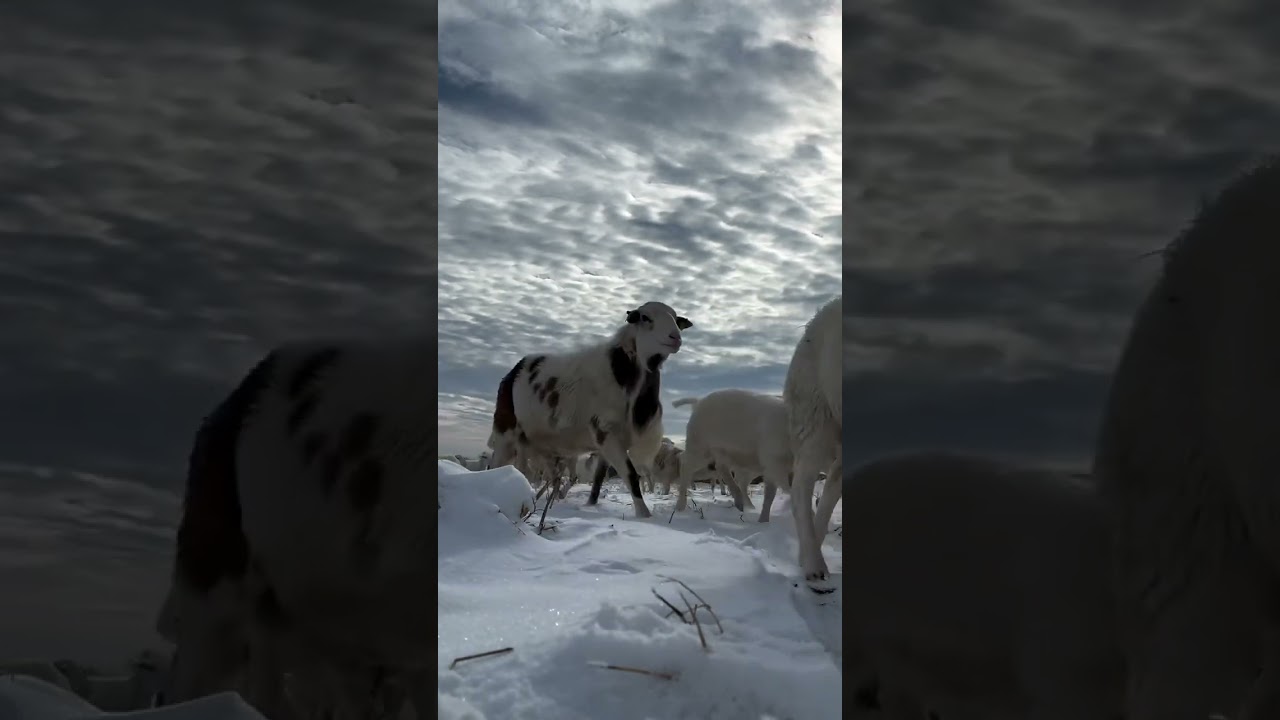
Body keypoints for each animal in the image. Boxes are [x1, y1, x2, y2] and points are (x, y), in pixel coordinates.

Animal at [487, 301, 693, 519]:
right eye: (645, 317)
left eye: (676, 320)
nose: (675, 338)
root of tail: (512, 372)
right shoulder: (606, 431)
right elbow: (630, 474)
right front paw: (644, 515)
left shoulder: (608, 443)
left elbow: (599, 479)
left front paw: (591, 504)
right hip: (506, 431)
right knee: (497, 465)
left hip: (539, 444)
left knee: (545, 474)